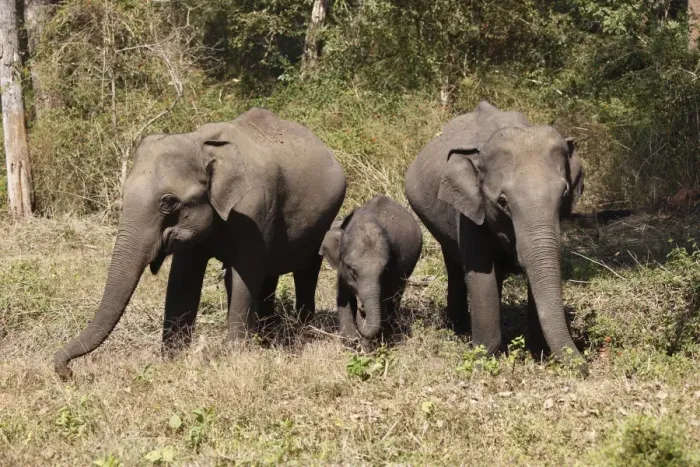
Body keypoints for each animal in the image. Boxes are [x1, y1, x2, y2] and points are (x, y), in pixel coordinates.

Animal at [54, 107, 346, 379]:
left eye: (168, 202)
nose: (67, 371)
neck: (200, 143)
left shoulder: (256, 208)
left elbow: (244, 275)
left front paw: (235, 358)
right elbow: (183, 281)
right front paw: (172, 360)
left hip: (324, 217)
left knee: (306, 269)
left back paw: (301, 330)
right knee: (270, 276)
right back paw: (267, 337)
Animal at [319, 195, 423, 343]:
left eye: (385, 270)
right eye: (352, 270)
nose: (362, 308)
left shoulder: (394, 271)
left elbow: (384, 299)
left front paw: (367, 344)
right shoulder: (342, 271)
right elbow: (344, 297)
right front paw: (351, 341)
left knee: (397, 295)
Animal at [404, 101, 587, 374]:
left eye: (564, 194)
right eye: (503, 202)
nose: (584, 367)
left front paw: (541, 354)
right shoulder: (469, 211)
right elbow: (481, 274)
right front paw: (483, 358)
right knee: (454, 265)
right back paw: (459, 330)